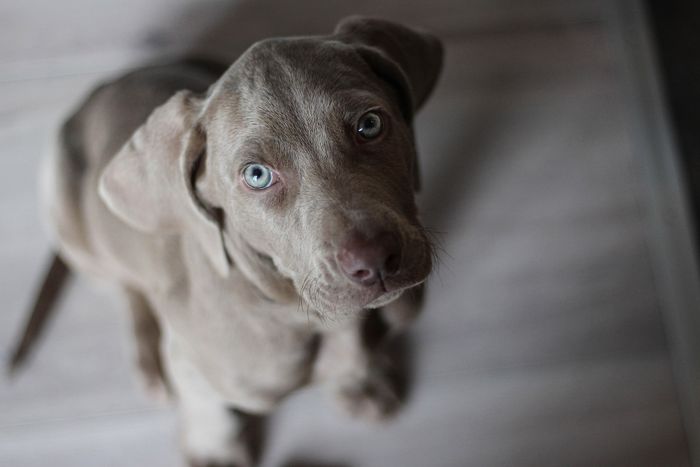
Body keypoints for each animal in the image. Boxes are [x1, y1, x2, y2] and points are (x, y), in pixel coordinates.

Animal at [9, 16, 442, 466]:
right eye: (257, 175)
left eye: (369, 125)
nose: (374, 260)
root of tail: (101, 88)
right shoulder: (194, 364)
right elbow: (209, 406)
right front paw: (213, 449)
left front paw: (360, 383)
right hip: (66, 215)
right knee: (127, 288)